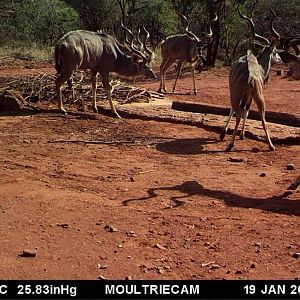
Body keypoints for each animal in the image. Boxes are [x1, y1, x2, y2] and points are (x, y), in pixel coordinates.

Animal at [220, 8, 282, 151]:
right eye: (275, 51)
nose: (280, 59)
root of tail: (250, 77)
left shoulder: (243, 97)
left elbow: (242, 111)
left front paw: (231, 134)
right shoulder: (247, 97)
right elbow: (244, 112)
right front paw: (236, 134)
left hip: (242, 96)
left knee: (240, 113)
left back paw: (231, 144)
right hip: (257, 97)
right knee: (261, 118)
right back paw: (270, 146)